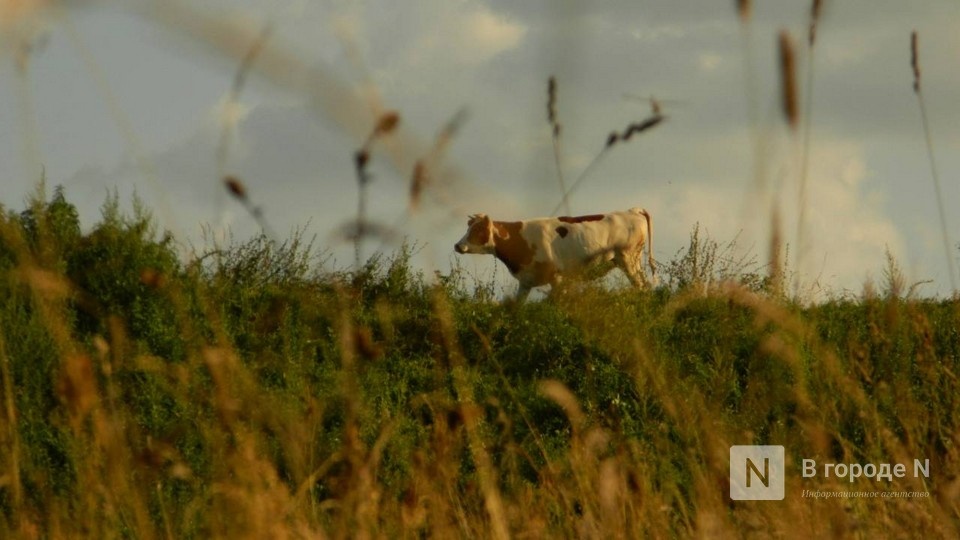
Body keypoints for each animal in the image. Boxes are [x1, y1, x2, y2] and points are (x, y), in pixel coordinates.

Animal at [454, 207, 656, 302]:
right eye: (468, 227)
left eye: (478, 229)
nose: (458, 245)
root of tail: (631, 211)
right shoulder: (525, 281)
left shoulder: (557, 278)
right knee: (644, 285)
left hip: (628, 258)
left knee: (641, 286)